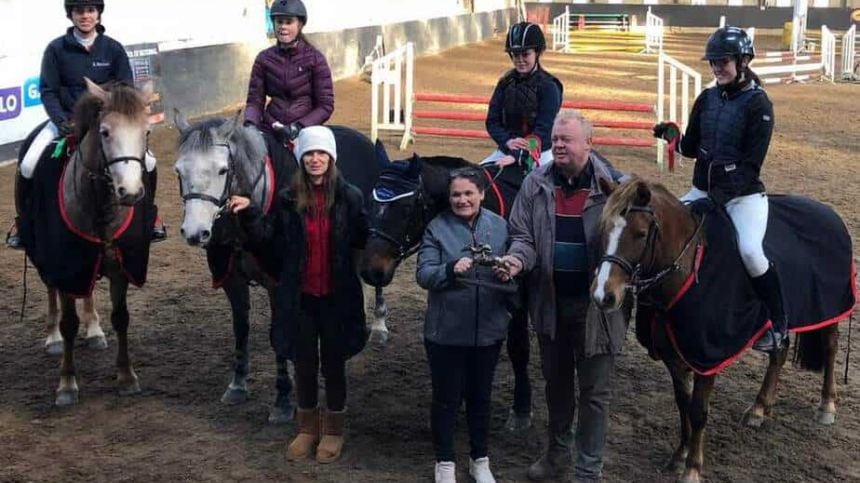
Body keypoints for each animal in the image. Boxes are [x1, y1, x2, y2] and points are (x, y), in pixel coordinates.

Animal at [354, 145, 532, 432]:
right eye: (370, 203)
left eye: (406, 208)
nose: (372, 271)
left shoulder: (518, 295)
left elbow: (518, 347)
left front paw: (521, 410)